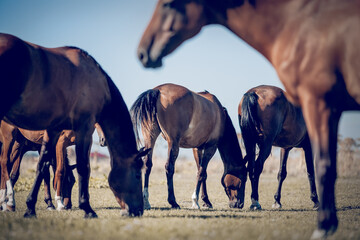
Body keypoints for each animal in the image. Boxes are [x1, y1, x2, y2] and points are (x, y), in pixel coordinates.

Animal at [0, 32, 149, 218]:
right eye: (137, 175)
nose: (138, 210)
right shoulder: (82, 129)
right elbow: (79, 168)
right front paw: (86, 208)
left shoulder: (53, 130)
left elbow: (42, 166)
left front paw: (30, 207)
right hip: (10, 137)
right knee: (5, 163)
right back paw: (8, 201)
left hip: (20, 142)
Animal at [137, 0, 360, 237]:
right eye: (238, 182)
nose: (236, 204)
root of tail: (157, 91)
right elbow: (309, 171)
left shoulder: (200, 147)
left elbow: (204, 173)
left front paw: (205, 201)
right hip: (176, 141)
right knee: (172, 166)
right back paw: (179, 201)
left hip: (153, 137)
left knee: (148, 164)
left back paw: (147, 201)